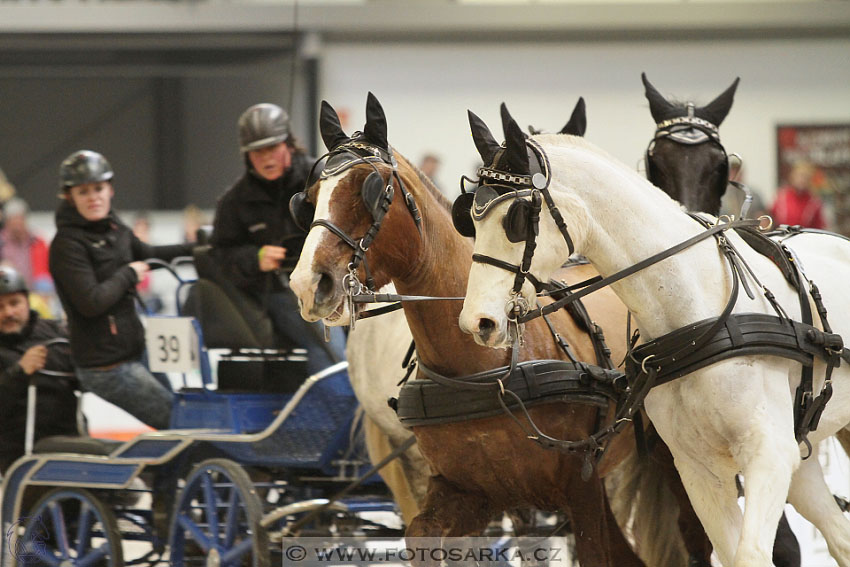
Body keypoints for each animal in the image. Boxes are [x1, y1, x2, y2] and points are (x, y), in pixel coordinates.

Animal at [288, 94, 660, 567]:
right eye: (308, 199)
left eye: (369, 190)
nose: (306, 284)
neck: (486, 369)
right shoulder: (470, 491)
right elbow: (423, 537)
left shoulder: (583, 488)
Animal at [460, 108, 850, 564]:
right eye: (470, 218)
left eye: (517, 218)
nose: (477, 321)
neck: (694, 321)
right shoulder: (699, 470)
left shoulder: (768, 455)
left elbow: (751, 553)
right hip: (804, 453)